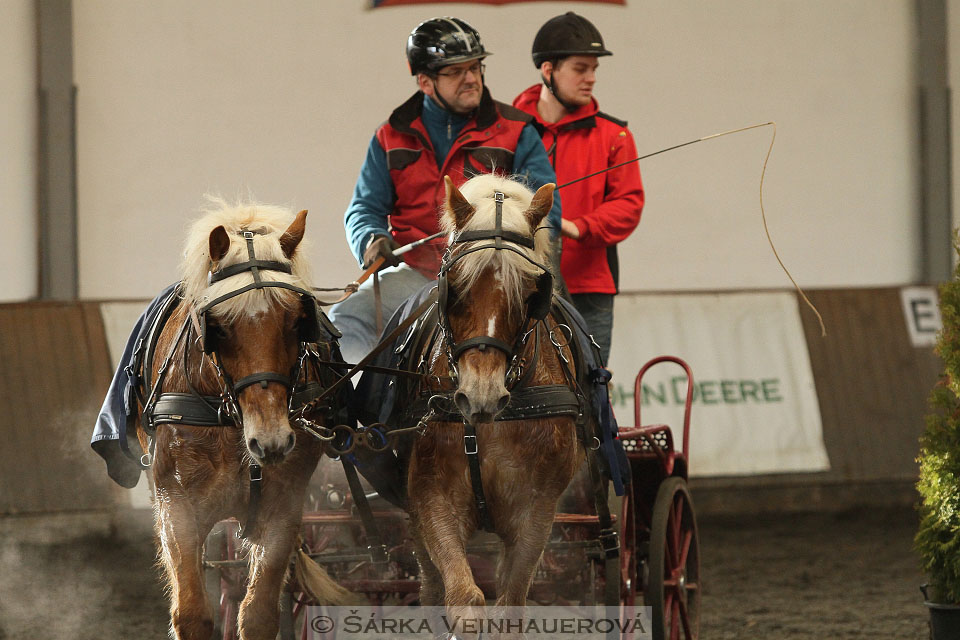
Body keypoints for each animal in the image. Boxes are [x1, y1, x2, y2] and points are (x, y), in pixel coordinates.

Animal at [131, 198, 348, 636]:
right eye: (219, 327)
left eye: (297, 321)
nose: (271, 441)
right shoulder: (177, 506)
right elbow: (192, 613)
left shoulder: (283, 507)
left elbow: (259, 613)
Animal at [402, 174, 580, 616]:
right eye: (454, 288)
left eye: (531, 294)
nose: (481, 395)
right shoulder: (431, 496)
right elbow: (464, 599)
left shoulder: (537, 510)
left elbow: (511, 601)